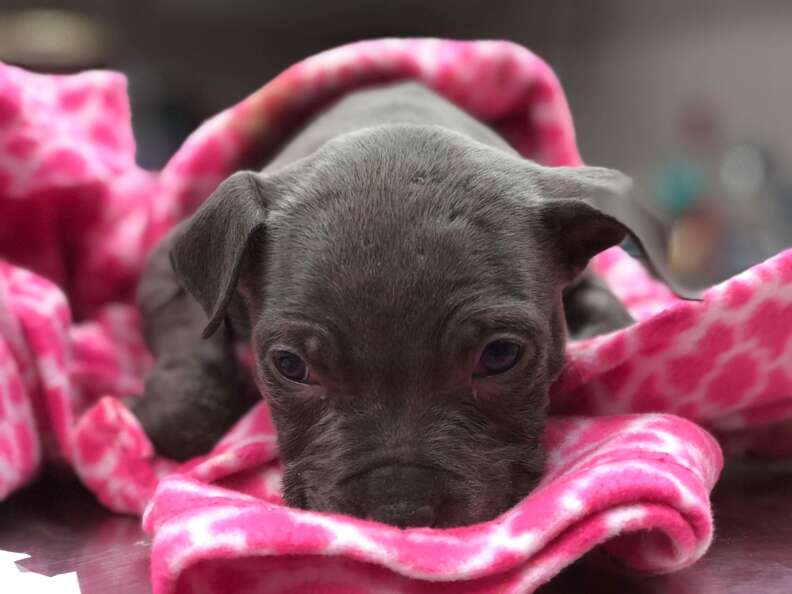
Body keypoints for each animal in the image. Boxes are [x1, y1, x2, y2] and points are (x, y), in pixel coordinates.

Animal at [133, 80, 652, 528]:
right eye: (290, 365)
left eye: (501, 355)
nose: (400, 512)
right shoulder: (165, 265)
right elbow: (183, 387)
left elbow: (610, 313)